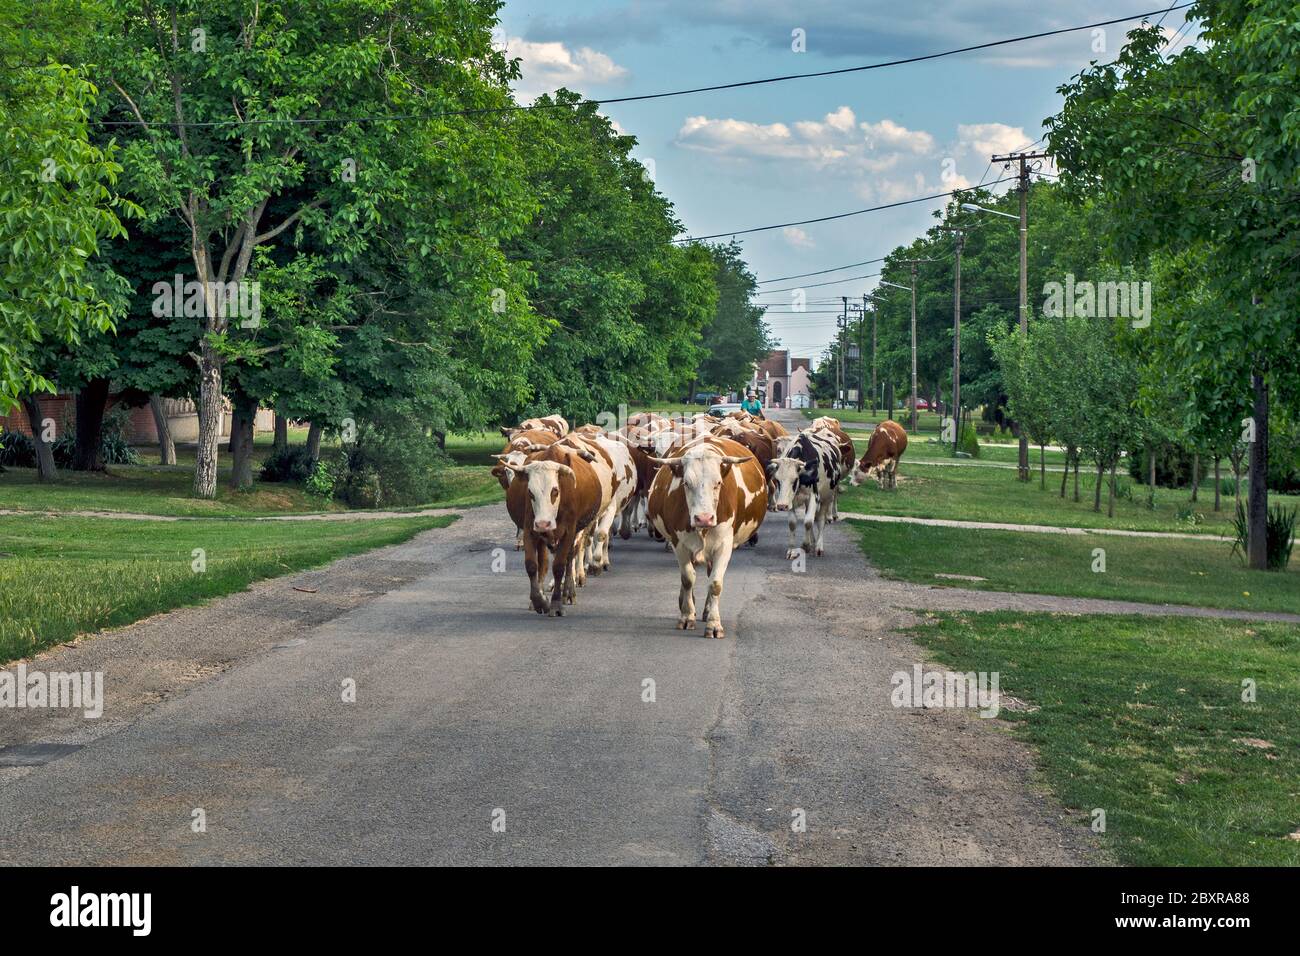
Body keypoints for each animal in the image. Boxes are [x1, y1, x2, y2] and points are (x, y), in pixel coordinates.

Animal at [647, 437, 764, 639]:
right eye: (686, 483)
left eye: (718, 483)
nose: (703, 518)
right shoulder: (679, 543)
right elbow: (687, 579)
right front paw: (687, 616)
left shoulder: (724, 544)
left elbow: (715, 584)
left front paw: (714, 624)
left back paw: (707, 610)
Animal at [759, 429, 842, 561]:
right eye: (777, 480)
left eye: (795, 480)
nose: (781, 506)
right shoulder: (790, 500)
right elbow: (793, 524)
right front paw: (791, 550)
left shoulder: (814, 497)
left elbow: (808, 522)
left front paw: (805, 545)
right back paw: (812, 542)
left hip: (827, 498)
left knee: (820, 521)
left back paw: (818, 547)